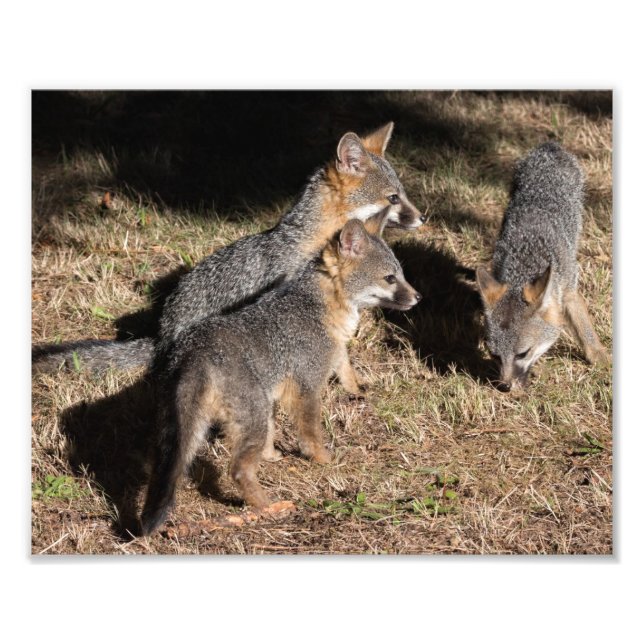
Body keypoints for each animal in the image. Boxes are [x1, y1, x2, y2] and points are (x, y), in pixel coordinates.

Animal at [139, 215, 421, 535]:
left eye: (401, 274)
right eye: (390, 278)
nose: (418, 297)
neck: (317, 306)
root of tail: (194, 352)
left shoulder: (300, 376)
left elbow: (342, 369)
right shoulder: (307, 385)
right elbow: (310, 432)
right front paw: (323, 459)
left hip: (199, 423)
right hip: (252, 416)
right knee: (238, 469)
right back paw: (268, 506)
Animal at [476, 142, 609, 392]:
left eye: (522, 353)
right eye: (495, 355)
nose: (504, 387)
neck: (526, 262)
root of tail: (549, 147)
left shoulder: (568, 292)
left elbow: (584, 328)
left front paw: (600, 357)